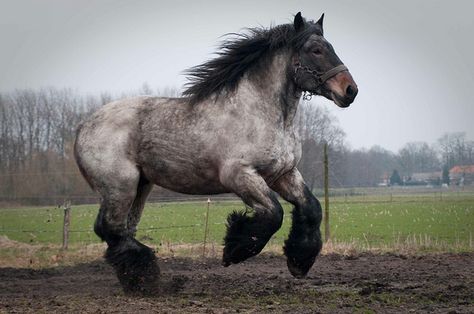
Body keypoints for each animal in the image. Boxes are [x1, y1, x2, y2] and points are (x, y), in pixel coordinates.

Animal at [73, 11, 356, 294]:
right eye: (316, 50)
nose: (350, 90)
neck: (259, 114)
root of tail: (84, 126)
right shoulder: (239, 175)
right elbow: (274, 213)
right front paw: (234, 250)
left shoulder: (283, 173)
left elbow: (311, 207)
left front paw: (299, 262)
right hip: (120, 186)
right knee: (110, 229)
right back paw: (147, 279)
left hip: (141, 185)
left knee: (122, 230)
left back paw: (139, 281)